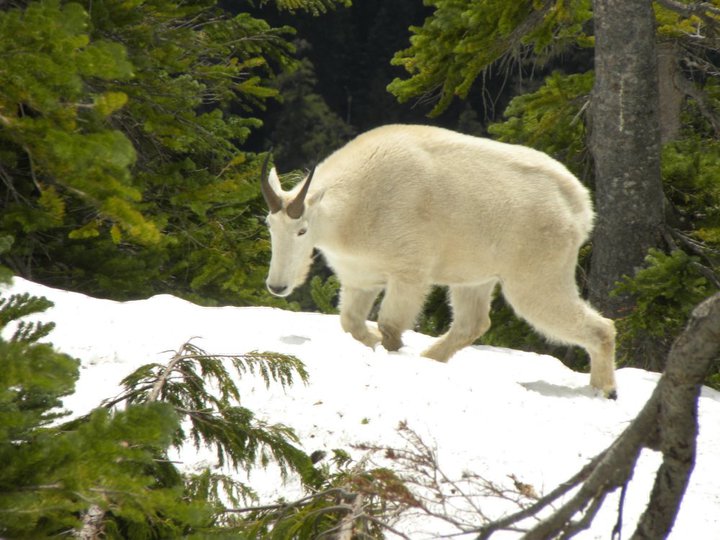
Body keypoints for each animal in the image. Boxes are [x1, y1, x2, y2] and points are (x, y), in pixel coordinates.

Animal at [261, 124, 617, 397]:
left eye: (302, 230)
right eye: (269, 225)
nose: (277, 286)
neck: (351, 211)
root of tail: (580, 206)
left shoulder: (409, 272)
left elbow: (390, 326)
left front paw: (390, 348)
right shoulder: (361, 278)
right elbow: (351, 323)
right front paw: (373, 343)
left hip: (537, 273)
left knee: (598, 327)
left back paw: (606, 390)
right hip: (475, 276)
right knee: (473, 323)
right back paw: (431, 357)